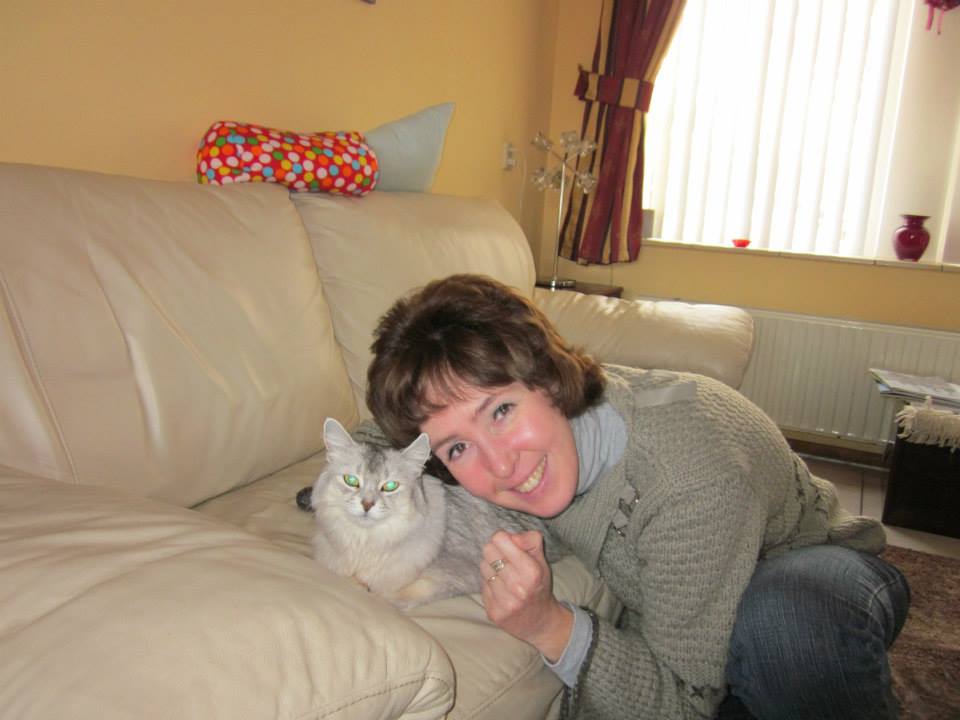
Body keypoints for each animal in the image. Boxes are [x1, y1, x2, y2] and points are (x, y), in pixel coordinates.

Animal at [299, 417, 566, 610]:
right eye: (351, 480)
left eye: (390, 486)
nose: (367, 504)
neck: (366, 543)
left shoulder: (463, 573)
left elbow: (393, 595)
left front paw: (371, 589)